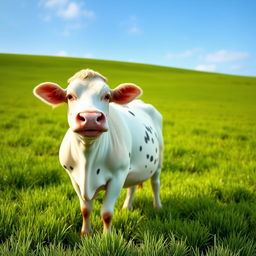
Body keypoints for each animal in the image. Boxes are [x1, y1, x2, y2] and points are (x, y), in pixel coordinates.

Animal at [33, 69, 163, 235]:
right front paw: (85, 233)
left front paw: (107, 237)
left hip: (158, 161)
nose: (90, 117)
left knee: (155, 183)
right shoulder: (74, 178)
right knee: (132, 185)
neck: (87, 159)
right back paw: (127, 207)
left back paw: (157, 206)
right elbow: (85, 209)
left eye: (107, 96)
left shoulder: (117, 176)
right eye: (70, 96)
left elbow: (106, 213)